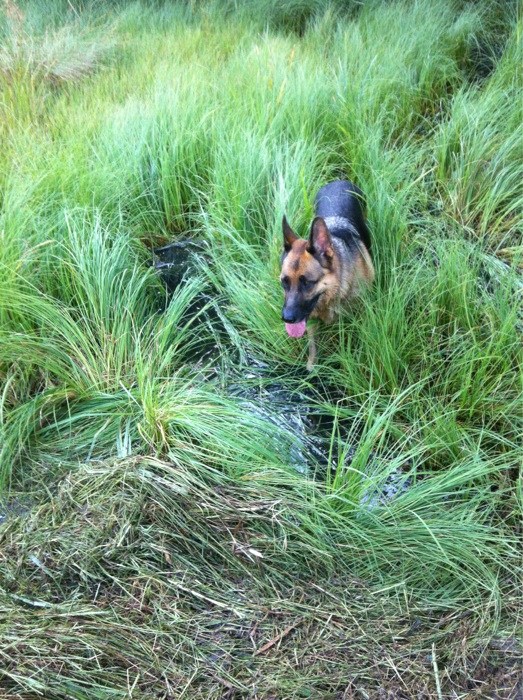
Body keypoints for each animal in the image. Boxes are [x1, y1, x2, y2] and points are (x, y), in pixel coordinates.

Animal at [280, 180, 374, 372]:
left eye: (307, 283)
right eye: (284, 282)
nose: (287, 318)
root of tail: (339, 181)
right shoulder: (310, 321)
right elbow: (312, 346)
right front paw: (311, 367)